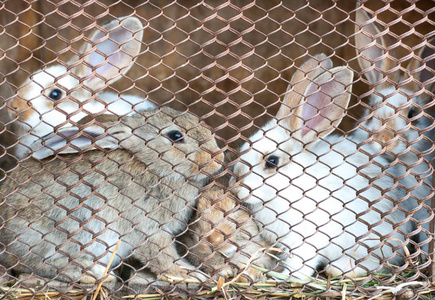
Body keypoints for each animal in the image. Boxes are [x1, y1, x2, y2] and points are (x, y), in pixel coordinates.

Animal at [0, 107, 225, 284]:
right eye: (176, 136)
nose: (219, 157)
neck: (149, 163)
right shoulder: (147, 228)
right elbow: (162, 256)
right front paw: (189, 274)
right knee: (35, 265)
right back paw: (89, 273)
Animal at [230, 53, 414, 278]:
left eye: (271, 161)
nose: (235, 186)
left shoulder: (305, 241)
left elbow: (300, 264)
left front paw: (287, 277)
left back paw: (340, 268)